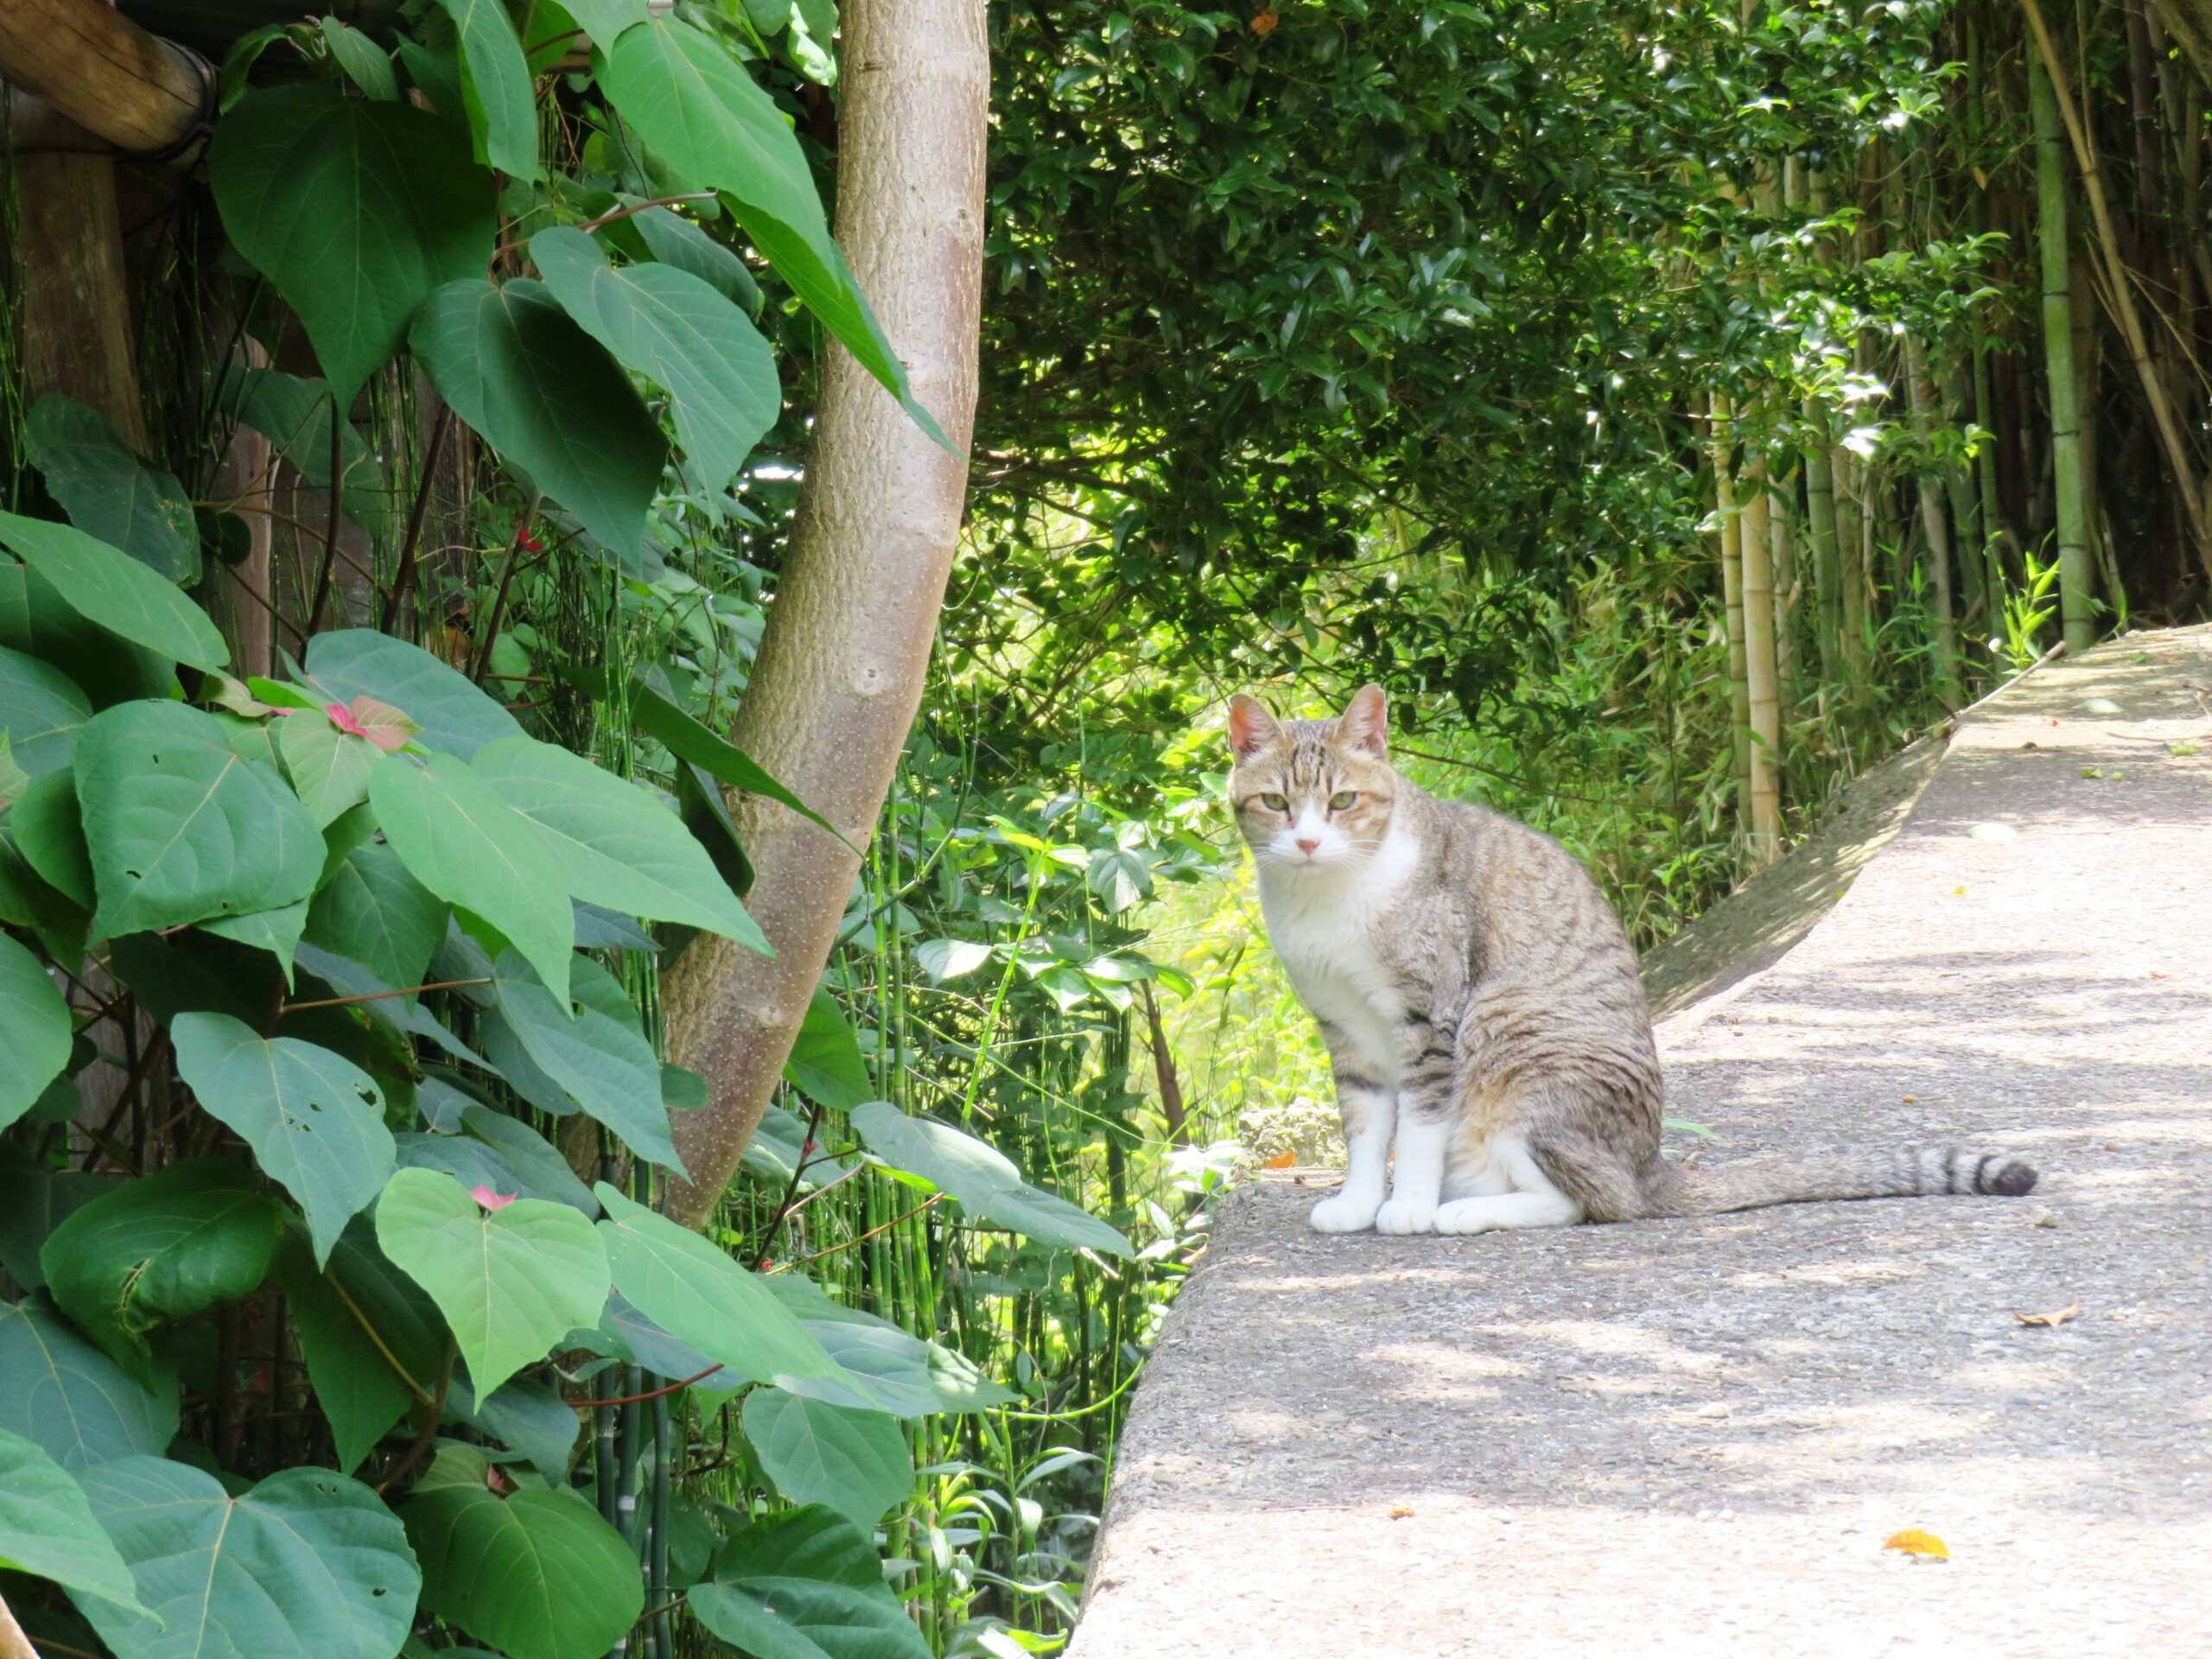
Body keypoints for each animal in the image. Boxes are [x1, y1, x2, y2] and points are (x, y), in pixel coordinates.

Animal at [1230, 681, 2035, 1238]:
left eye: (1342, 802)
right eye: (1275, 803)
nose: (1307, 841)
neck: (1327, 898)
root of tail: (1653, 1171)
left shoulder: (1432, 1014)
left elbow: (1421, 1126)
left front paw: (1407, 1206)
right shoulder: (1346, 1028)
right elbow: (1366, 1128)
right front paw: (1360, 1202)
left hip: (1509, 1031)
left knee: (1590, 1202)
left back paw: (1462, 1213)